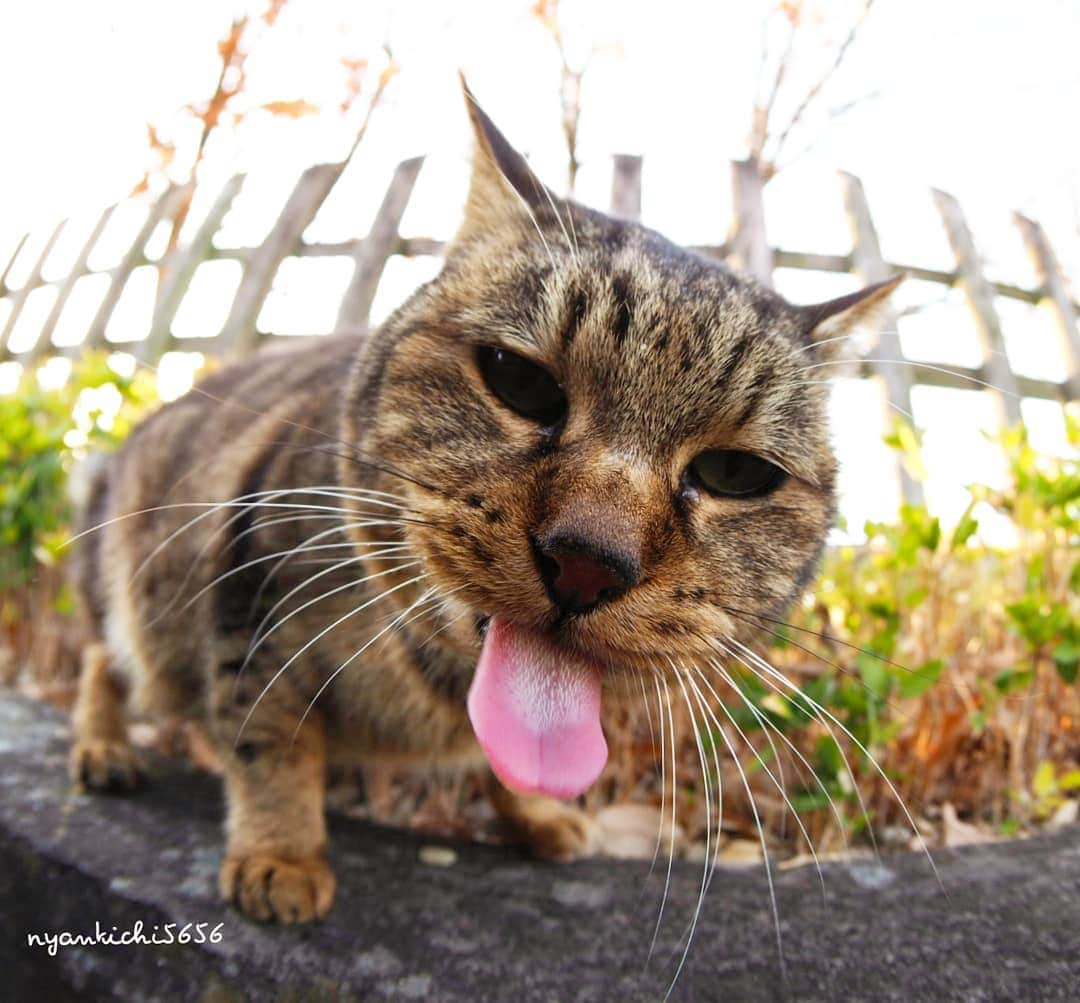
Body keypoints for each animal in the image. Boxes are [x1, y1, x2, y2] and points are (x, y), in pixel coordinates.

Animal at [67, 86, 898, 924]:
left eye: (734, 471)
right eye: (518, 380)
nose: (589, 562)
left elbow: (508, 763)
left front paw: (533, 815)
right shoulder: (251, 572)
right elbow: (270, 736)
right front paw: (283, 854)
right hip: (130, 588)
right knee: (107, 657)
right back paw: (104, 747)